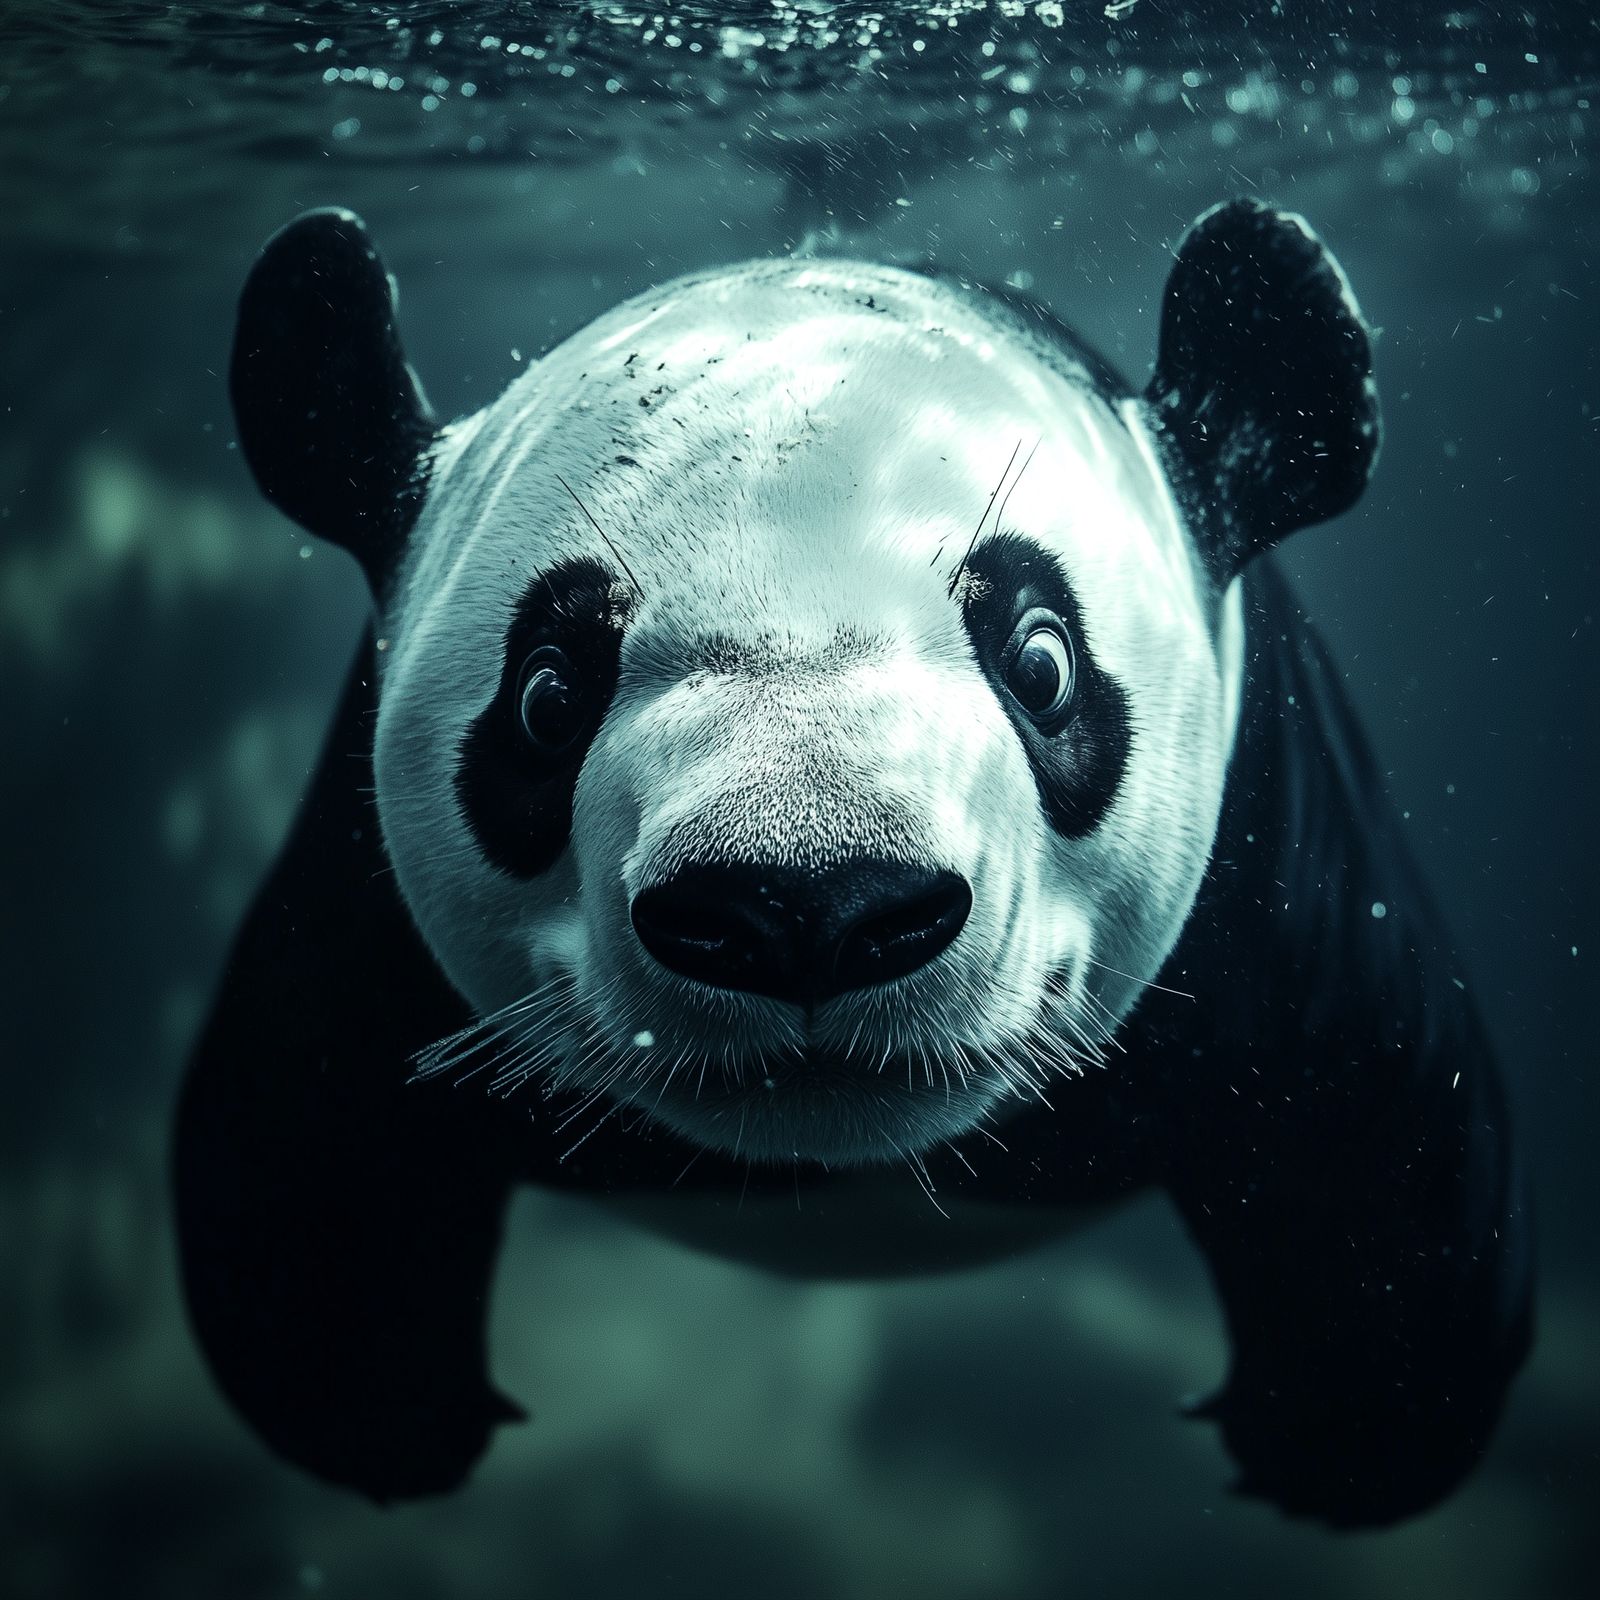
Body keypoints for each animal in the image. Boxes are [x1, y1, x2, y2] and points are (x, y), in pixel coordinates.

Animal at [175, 199, 1532, 1527]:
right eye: (547, 695)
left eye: (1040, 660)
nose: (803, 904)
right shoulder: (363, 906)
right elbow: (300, 1137)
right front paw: (391, 1427)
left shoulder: (1288, 885)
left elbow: (1387, 1135)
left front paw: (1328, 1443)